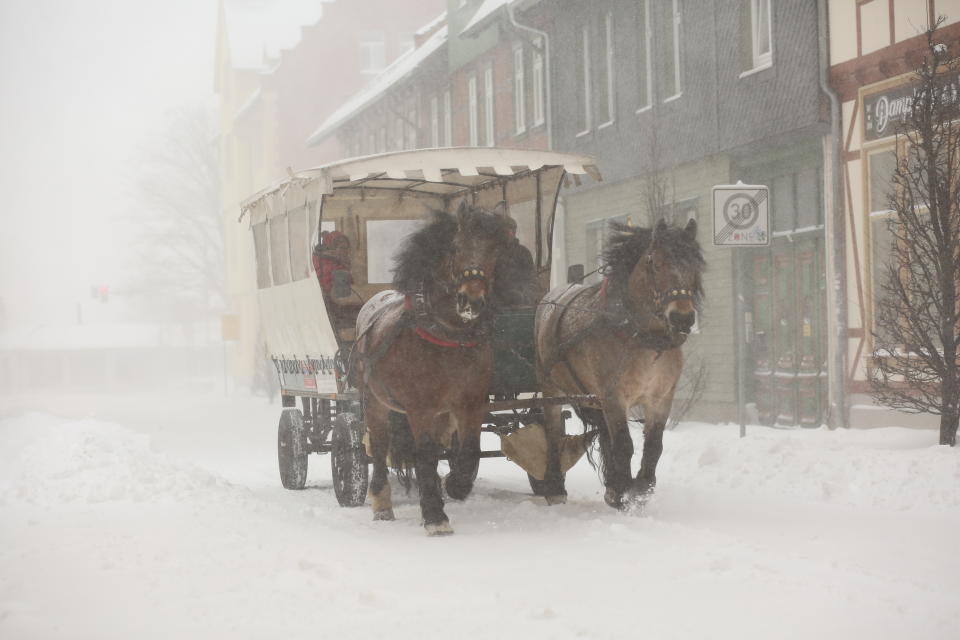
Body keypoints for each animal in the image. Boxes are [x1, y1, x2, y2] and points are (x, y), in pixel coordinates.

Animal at [350, 204, 510, 536]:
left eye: (493, 250)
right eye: (454, 247)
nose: (471, 300)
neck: (448, 337)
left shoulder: (470, 402)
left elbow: (469, 449)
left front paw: (456, 485)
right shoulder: (420, 406)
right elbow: (423, 453)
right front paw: (435, 515)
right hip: (374, 401)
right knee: (380, 446)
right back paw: (382, 502)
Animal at [536, 220, 700, 510]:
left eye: (694, 264)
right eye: (654, 263)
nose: (682, 318)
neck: (642, 338)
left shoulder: (661, 397)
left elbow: (653, 444)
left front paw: (641, 487)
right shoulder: (614, 395)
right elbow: (624, 443)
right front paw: (625, 491)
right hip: (551, 387)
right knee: (553, 430)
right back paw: (555, 486)